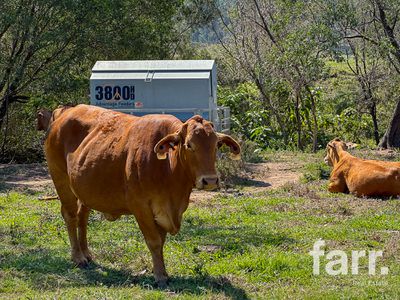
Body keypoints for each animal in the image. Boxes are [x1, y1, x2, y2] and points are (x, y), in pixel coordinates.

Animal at [45, 105, 242, 286]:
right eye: (189, 145)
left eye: (217, 145)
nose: (210, 180)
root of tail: (66, 111)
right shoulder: (140, 206)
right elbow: (154, 241)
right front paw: (160, 276)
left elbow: (161, 241)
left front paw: (161, 270)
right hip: (61, 180)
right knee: (70, 215)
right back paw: (78, 257)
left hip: (84, 189)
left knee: (82, 217)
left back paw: (86, 254)